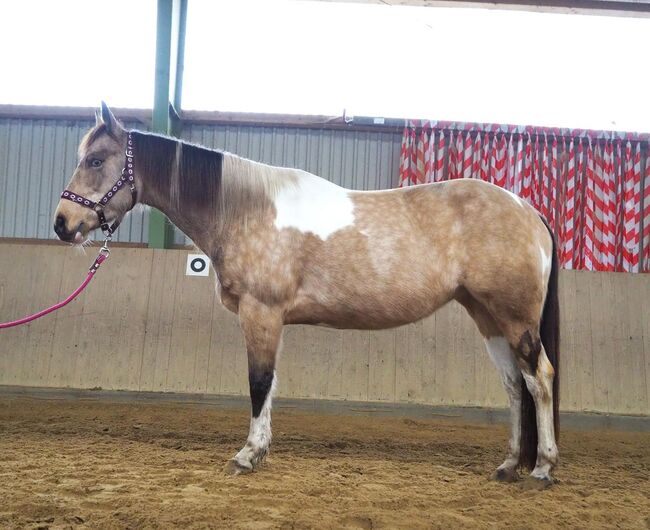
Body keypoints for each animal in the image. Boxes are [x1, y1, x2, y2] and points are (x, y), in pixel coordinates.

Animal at [54, 104, 556, 486]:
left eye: (96, 160)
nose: (62, 224)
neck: (246, 211)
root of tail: (528, 211)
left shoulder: (260, 313)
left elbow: (258, 382)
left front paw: (247, 455)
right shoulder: (272, 319)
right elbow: (270, 383)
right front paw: (259, 451)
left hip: (515, 318)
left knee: (539, 379)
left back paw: (543, 468)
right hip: (487, 316)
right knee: (514, 385)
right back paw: (509, 465)